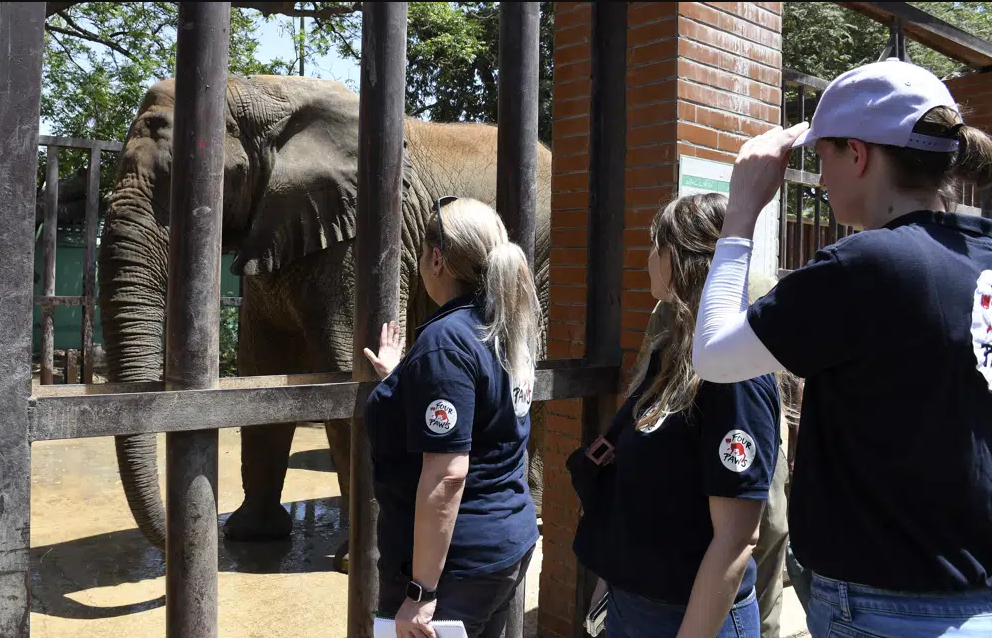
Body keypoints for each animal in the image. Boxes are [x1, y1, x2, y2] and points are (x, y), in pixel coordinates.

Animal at [96, 76, 556, 564]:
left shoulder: (355, 245)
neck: (262, 96)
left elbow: (341, 370)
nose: (201, 542)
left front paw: (358, 560)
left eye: (185, 189)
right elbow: (263, 366)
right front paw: (251, 536)